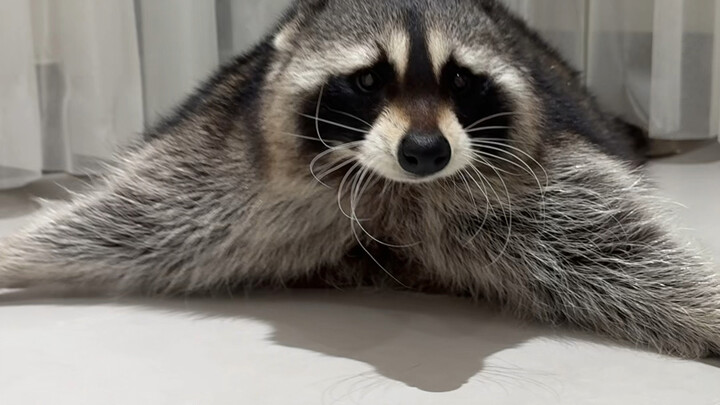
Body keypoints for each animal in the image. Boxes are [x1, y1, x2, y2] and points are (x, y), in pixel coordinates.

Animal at [1, 0, 718, 358]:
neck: (391, 189)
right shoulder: (234, 171)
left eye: (462, 81)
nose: (426, 150)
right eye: (368, 80)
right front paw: (17, 250)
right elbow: (129, 223)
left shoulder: (530, 177)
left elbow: (621, 249)